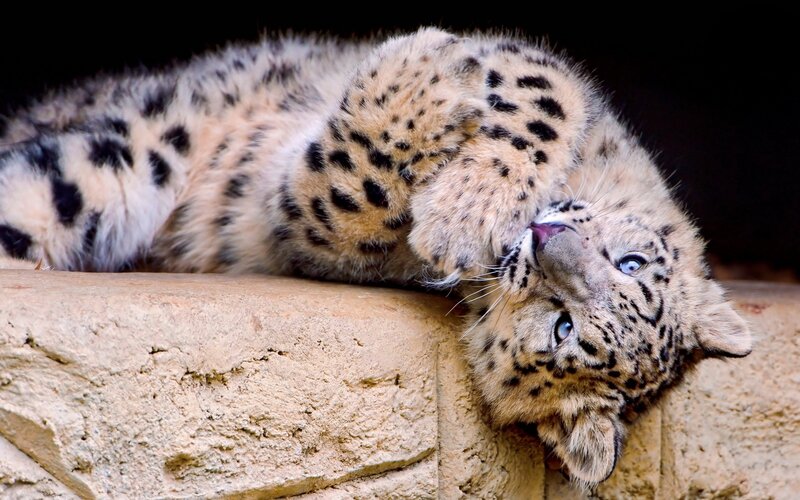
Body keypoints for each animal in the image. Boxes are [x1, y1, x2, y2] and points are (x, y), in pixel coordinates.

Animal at [0, 27, 752, 486]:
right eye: (630, 264)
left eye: (562, 324)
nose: (545, 240)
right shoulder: (544, 74)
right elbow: (538, 94)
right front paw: (462, 171)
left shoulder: (306, 226)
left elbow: (344, 188)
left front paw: (447, 202)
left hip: (106, 171)